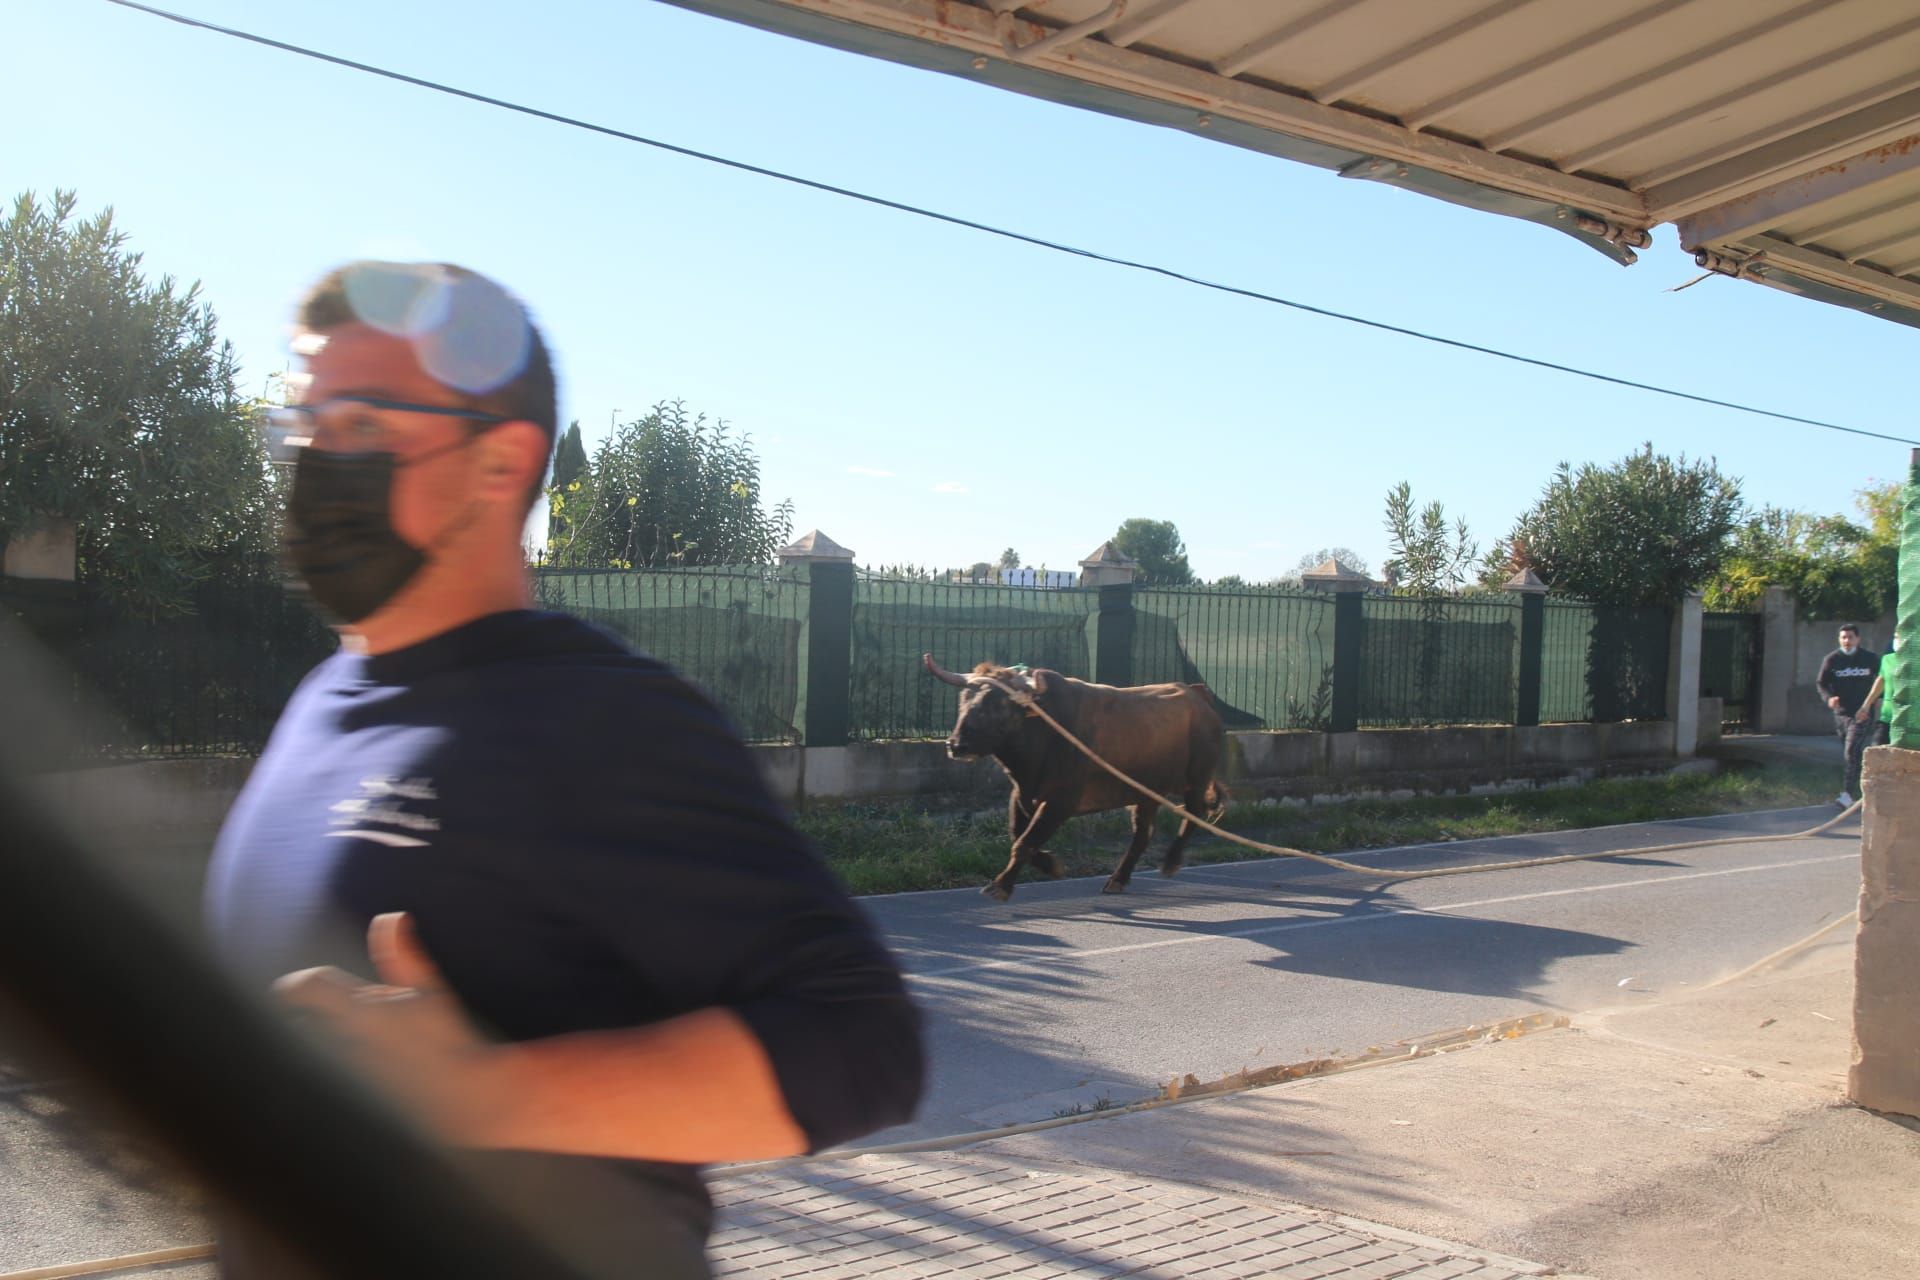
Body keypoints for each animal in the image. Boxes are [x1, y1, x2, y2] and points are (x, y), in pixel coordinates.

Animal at [925, 660, 1228, 901]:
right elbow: (1018, 835)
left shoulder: (1061, 802)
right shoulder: (1021, 795)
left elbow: (1024, 842)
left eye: (1000, 704)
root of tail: (1197, 693)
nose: (956, 745)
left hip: (1196, 780)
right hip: (1147, 792)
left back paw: (1170, 861)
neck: (1043, 733)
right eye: (963, 699)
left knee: (1193, 815)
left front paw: (1000, 885)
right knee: (1143, 834)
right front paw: (1050, 865)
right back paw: (1118, 879)